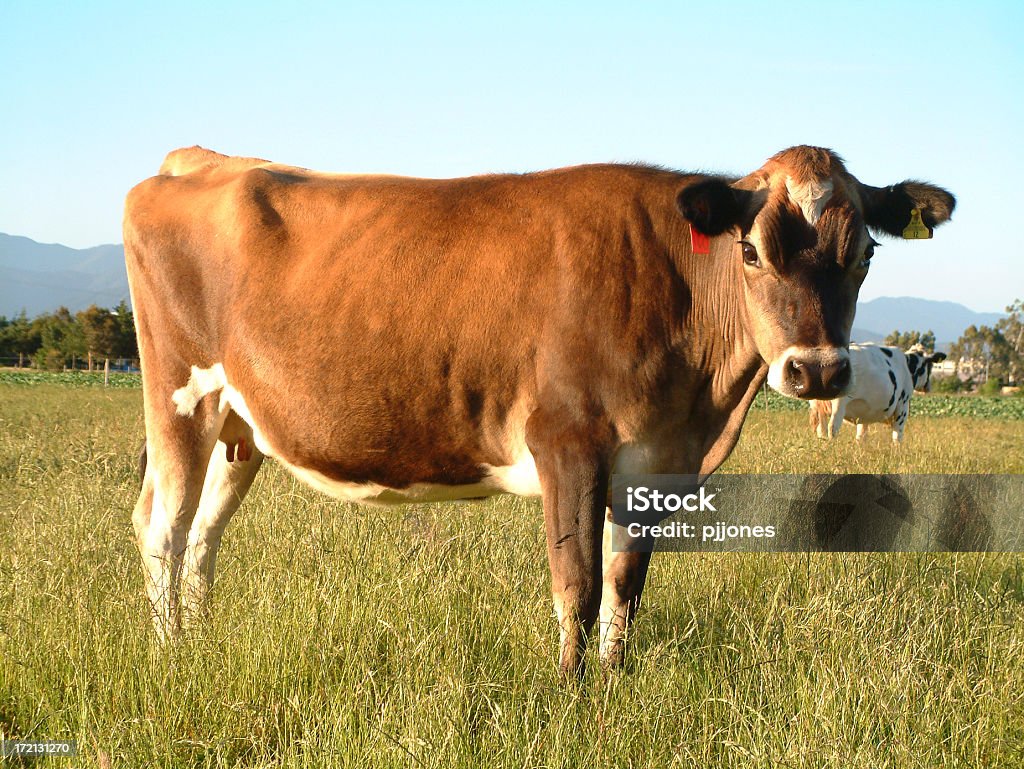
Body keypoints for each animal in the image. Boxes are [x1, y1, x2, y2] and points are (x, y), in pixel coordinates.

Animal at [811, 344, 946, 444]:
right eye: (930, 365)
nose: (928, 387)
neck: (908, 366)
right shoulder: (902, 406)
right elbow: (897, 436)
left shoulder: (864, 413)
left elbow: (861, 436)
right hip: (838, 404)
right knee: (832, 428)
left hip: (817, 405)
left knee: (821, 430)